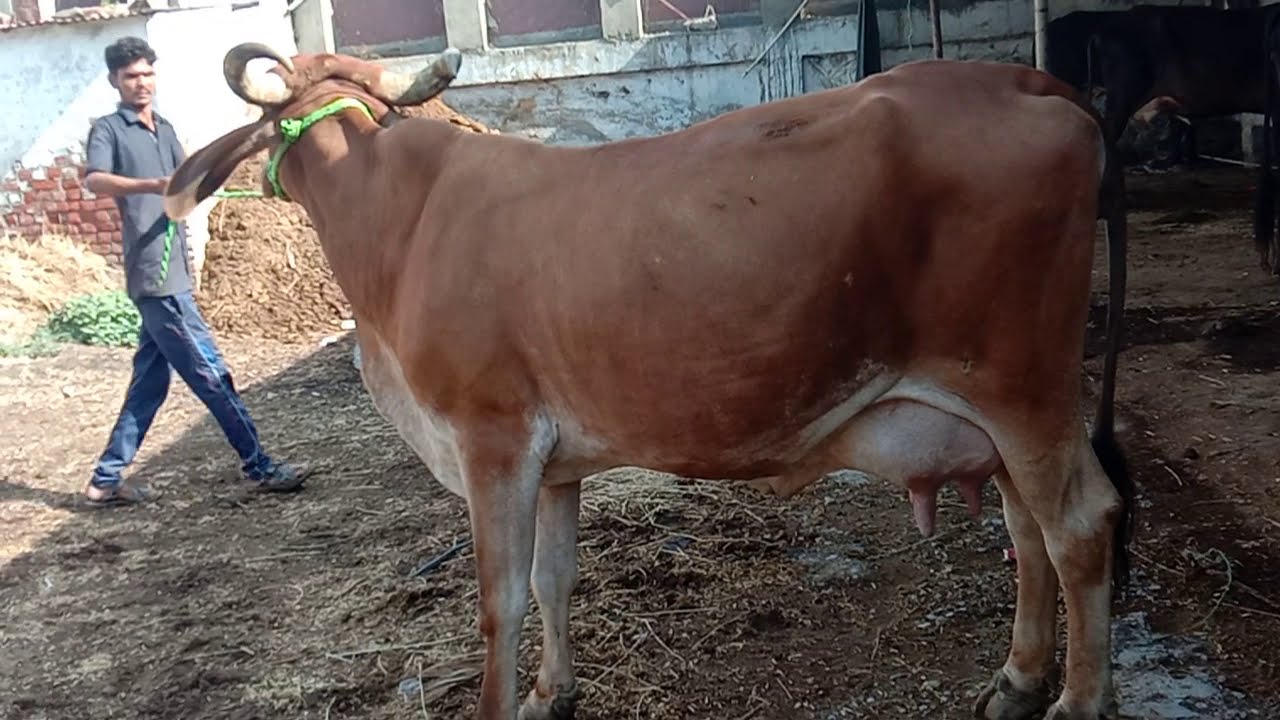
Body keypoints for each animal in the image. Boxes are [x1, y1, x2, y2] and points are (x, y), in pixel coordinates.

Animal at [163, 43, 1133, 720]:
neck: (402, 224)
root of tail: (1022, 79)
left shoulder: (490, 438)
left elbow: (498, 603)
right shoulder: (552, 460)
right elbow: (553, 580)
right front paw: (552, 693)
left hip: (1024, 391)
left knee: (1079, 525)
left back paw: (1075, 699)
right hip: (998, 414)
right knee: (1029, 531)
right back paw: (1017, 678)